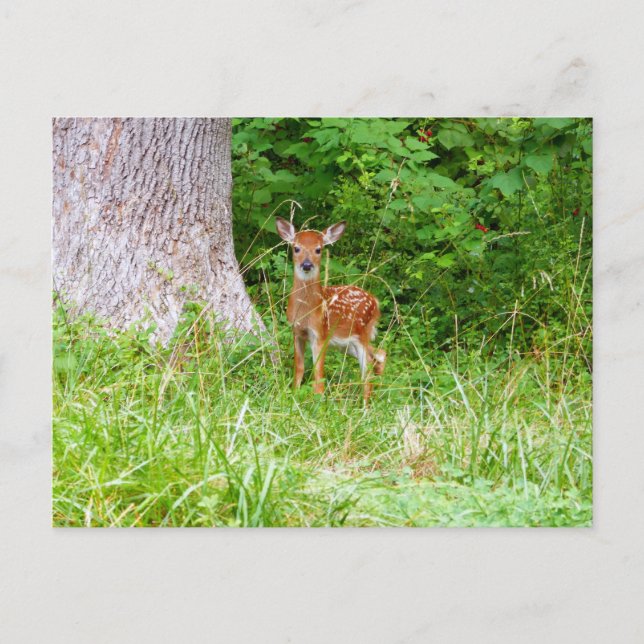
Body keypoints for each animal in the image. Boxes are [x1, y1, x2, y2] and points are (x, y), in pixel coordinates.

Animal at [276, 217, 386, 402]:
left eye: (318, 249)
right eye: (296, 248)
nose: (307, 264)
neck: (306, 311)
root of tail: (375, 301)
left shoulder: (321, 333)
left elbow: (318, 373)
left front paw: (318, 400)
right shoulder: (297, 332)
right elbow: (299, 367)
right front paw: (294, 393)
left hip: (361, 333)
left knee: (368, 370)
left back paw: (365, 404)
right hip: (346, 342)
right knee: (379, 354)